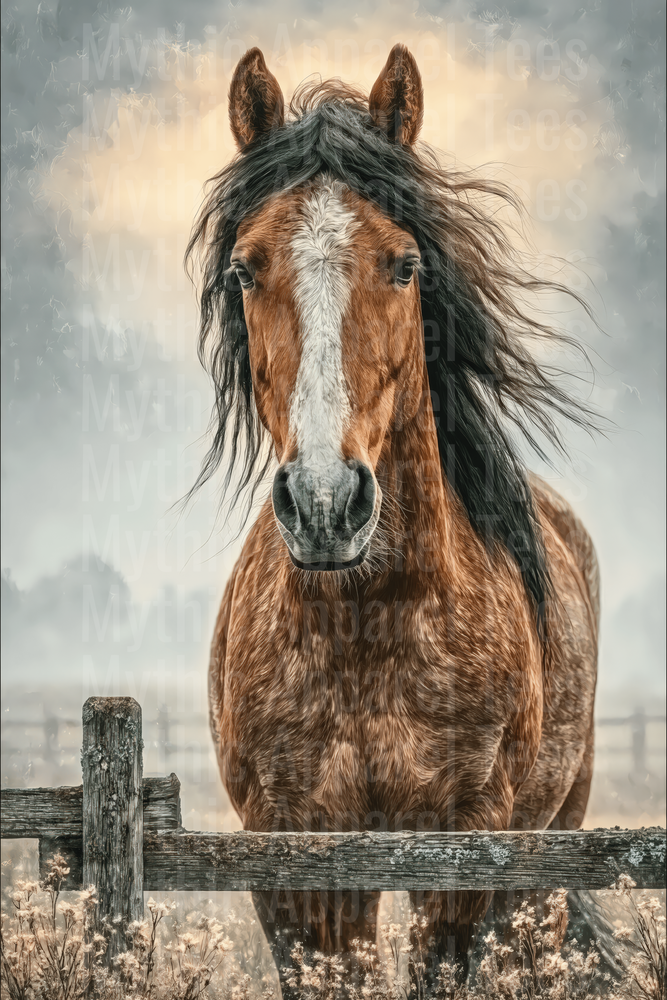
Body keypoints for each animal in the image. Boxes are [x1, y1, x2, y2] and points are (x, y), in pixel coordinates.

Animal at [186, 45, 600, 995]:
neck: (367, 630)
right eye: (245, 268)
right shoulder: (295, 856)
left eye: (404, 265)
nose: (326, 502)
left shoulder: (464, 851)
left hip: (548, 851)